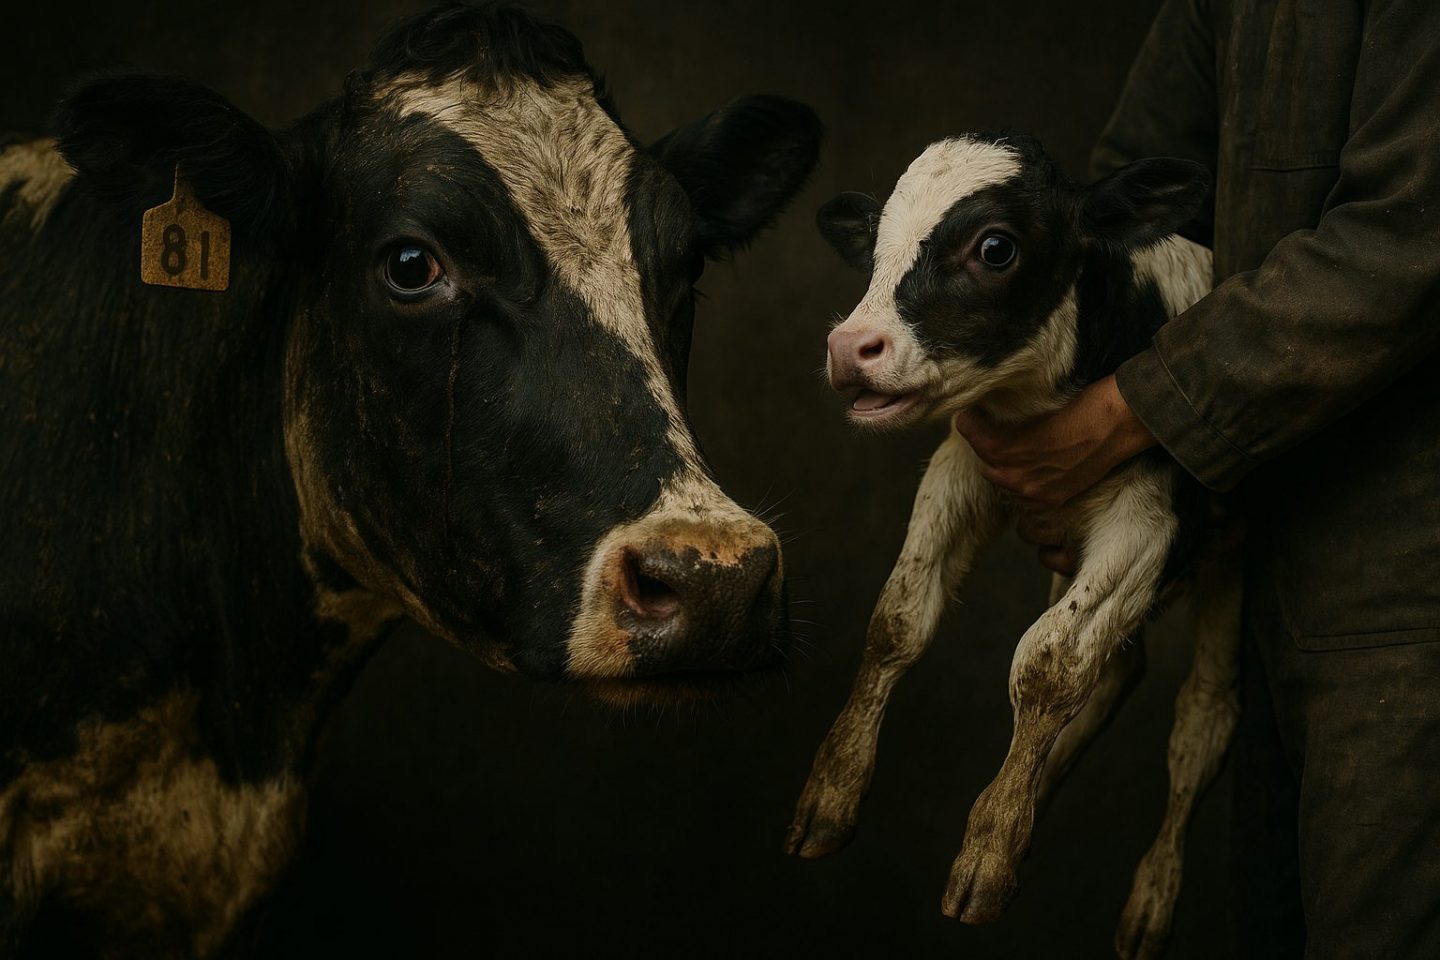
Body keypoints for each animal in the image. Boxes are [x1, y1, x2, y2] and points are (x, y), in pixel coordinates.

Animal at [785, 132, 1240, 960]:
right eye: (875, 246)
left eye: (995, 248)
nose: (848, 347)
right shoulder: (963, 466)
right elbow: (898, 619)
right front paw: (831, 793)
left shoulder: (1148, 519)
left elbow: (1047, 663)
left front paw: (988, 856)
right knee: (1116, 669)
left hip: (1229, 561)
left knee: (1201, 718)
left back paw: (1147, 904)